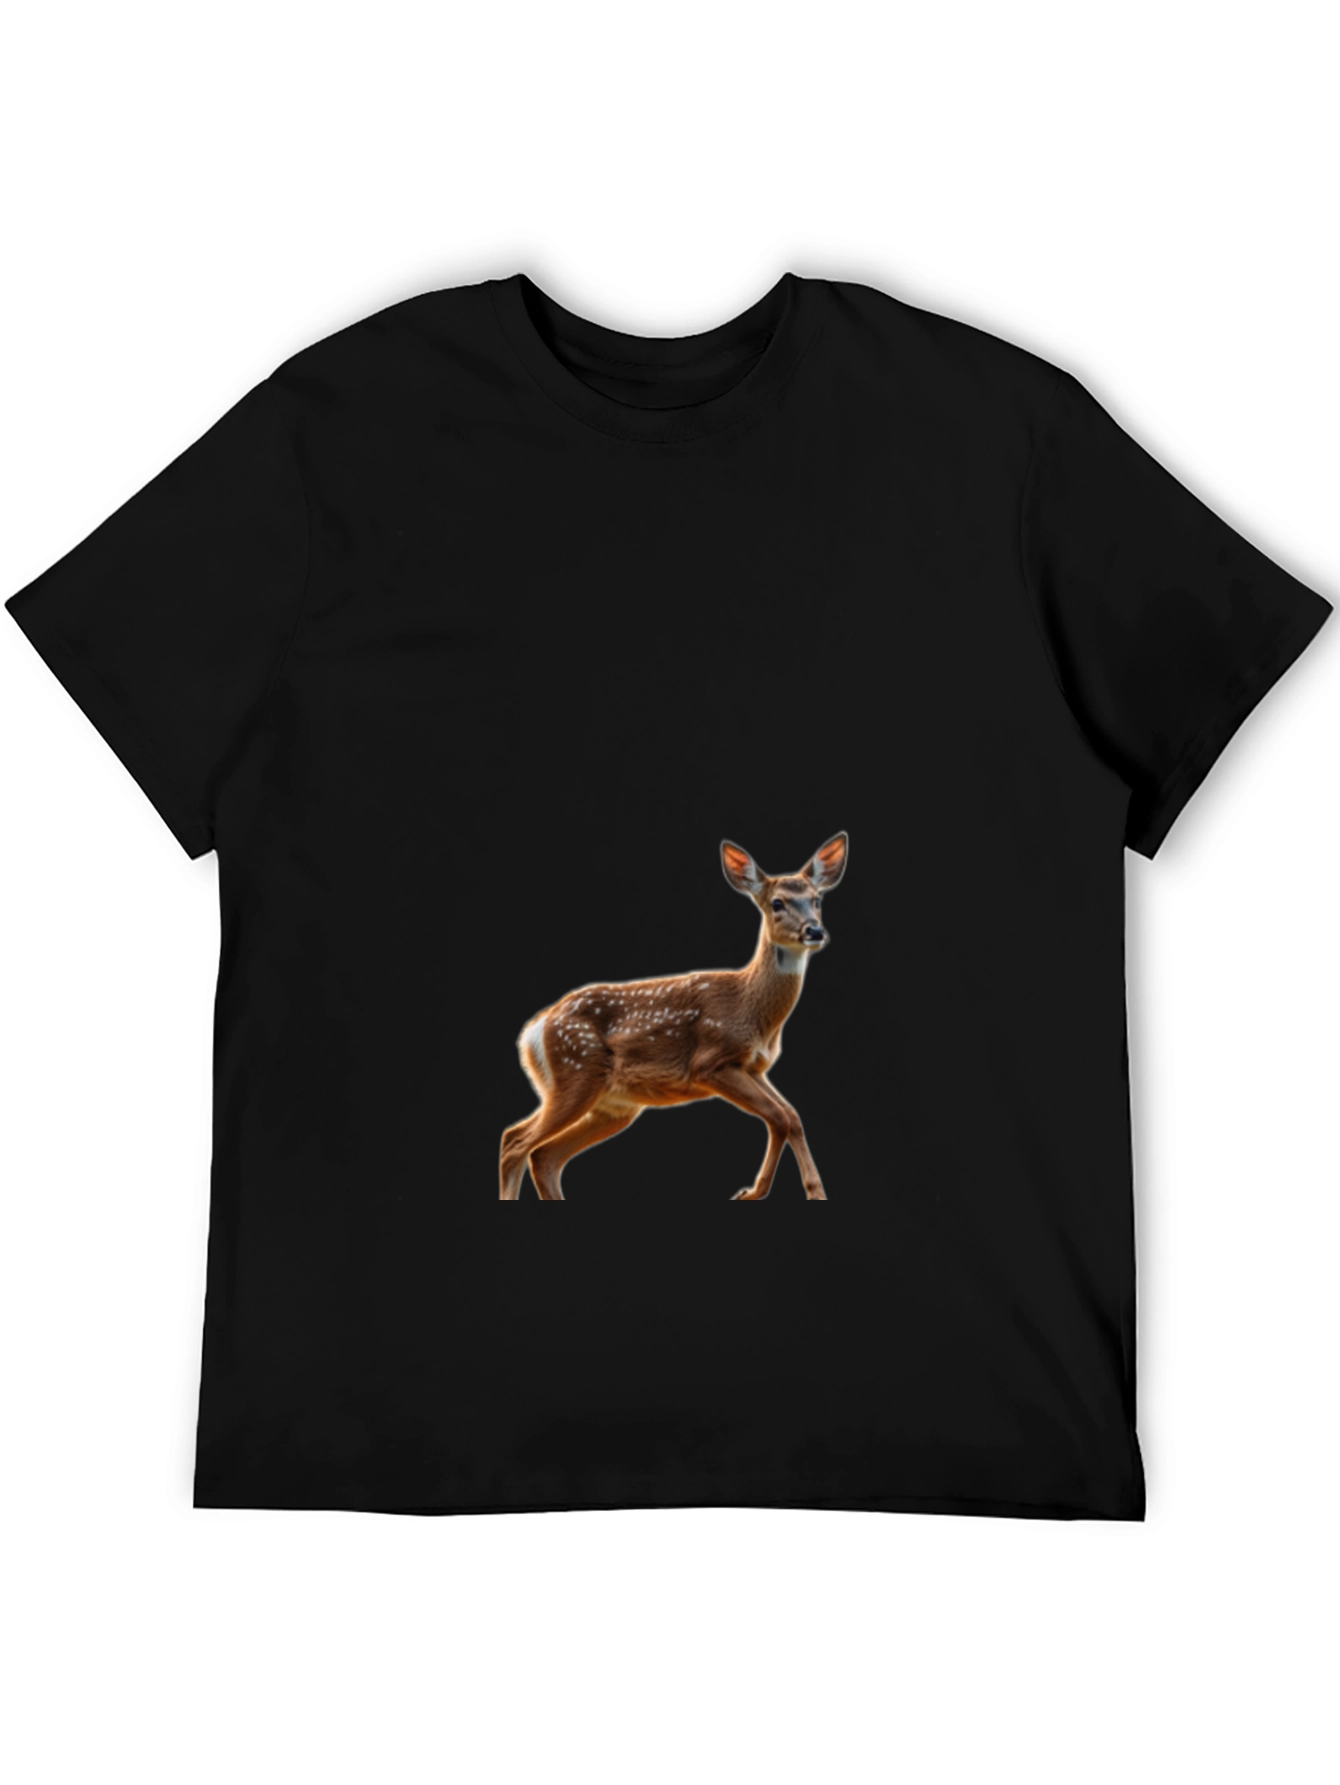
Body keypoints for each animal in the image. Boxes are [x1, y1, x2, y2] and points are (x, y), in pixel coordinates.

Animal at [500, 833, 848, 1202]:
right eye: (777, 903)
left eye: (817, 901)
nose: (814, 931)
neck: (751, 1009)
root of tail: (533, 1030)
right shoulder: (710, 1063)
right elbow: (778, 1116)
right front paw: (753, 1192)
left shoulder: (755, 1068)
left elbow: (791, 1116)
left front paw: (811, 1192)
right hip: (575, 1072)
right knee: (515, 1141)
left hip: (612, 1106)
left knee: (544, 1156)